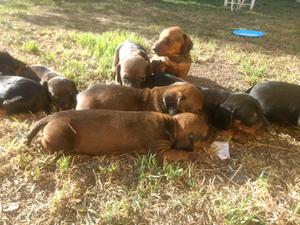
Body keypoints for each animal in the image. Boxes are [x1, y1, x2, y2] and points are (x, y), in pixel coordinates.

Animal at [25, 109, 213, 161]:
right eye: (205, 135)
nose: (214, 135)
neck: (171, 125)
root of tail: (53, 116)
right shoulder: (160, 152)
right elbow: (180, 152)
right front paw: (196, 155)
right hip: (61, 138)